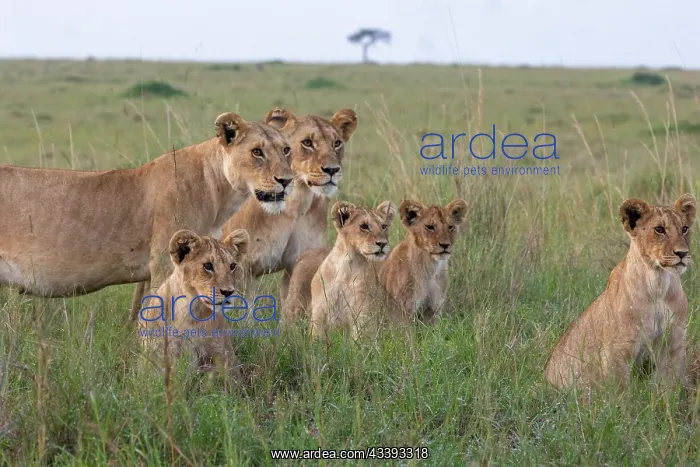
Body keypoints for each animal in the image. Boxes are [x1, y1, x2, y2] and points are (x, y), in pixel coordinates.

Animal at [0, 111, 293, 321]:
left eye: (286, 150)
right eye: (257, 152)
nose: (287, 181)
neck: (220, 193)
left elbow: (139, 314)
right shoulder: (165, 263)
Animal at [139, 229, 250, 380]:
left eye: (232, 266)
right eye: (208, 266)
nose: (228, 292)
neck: (190, 312)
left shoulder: (224, 358)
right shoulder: (159, 355)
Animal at [219, 107, 358, 300]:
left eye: (337, 143)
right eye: (307, 142)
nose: (332, 170)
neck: (295, 205)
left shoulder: (297, 263)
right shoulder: (243, 269)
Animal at [307, 200, 397, 339]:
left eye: (384, 226)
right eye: (364, 226)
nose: (382, 243)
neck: (346, 266)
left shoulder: (364, 314)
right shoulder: (319, 312)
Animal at [544, 194, 697, 392]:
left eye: (684, 229)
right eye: (659, 229)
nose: (682, 253)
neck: (658, 284)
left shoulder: (673, 345)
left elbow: (667, 388)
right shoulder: (617, 351)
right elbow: (621, 393)